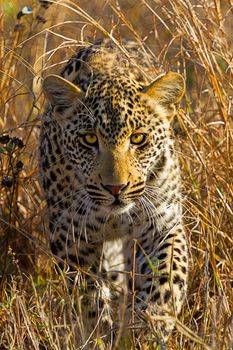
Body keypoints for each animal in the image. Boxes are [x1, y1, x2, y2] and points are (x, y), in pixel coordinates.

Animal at [39, 39, 188, 348]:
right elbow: (87, 297)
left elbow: (166, 276)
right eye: (89, 139)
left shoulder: (163, 225)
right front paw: (98, 335)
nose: (115, 188)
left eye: (138, 138)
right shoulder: (72, 237)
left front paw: (149, 327)